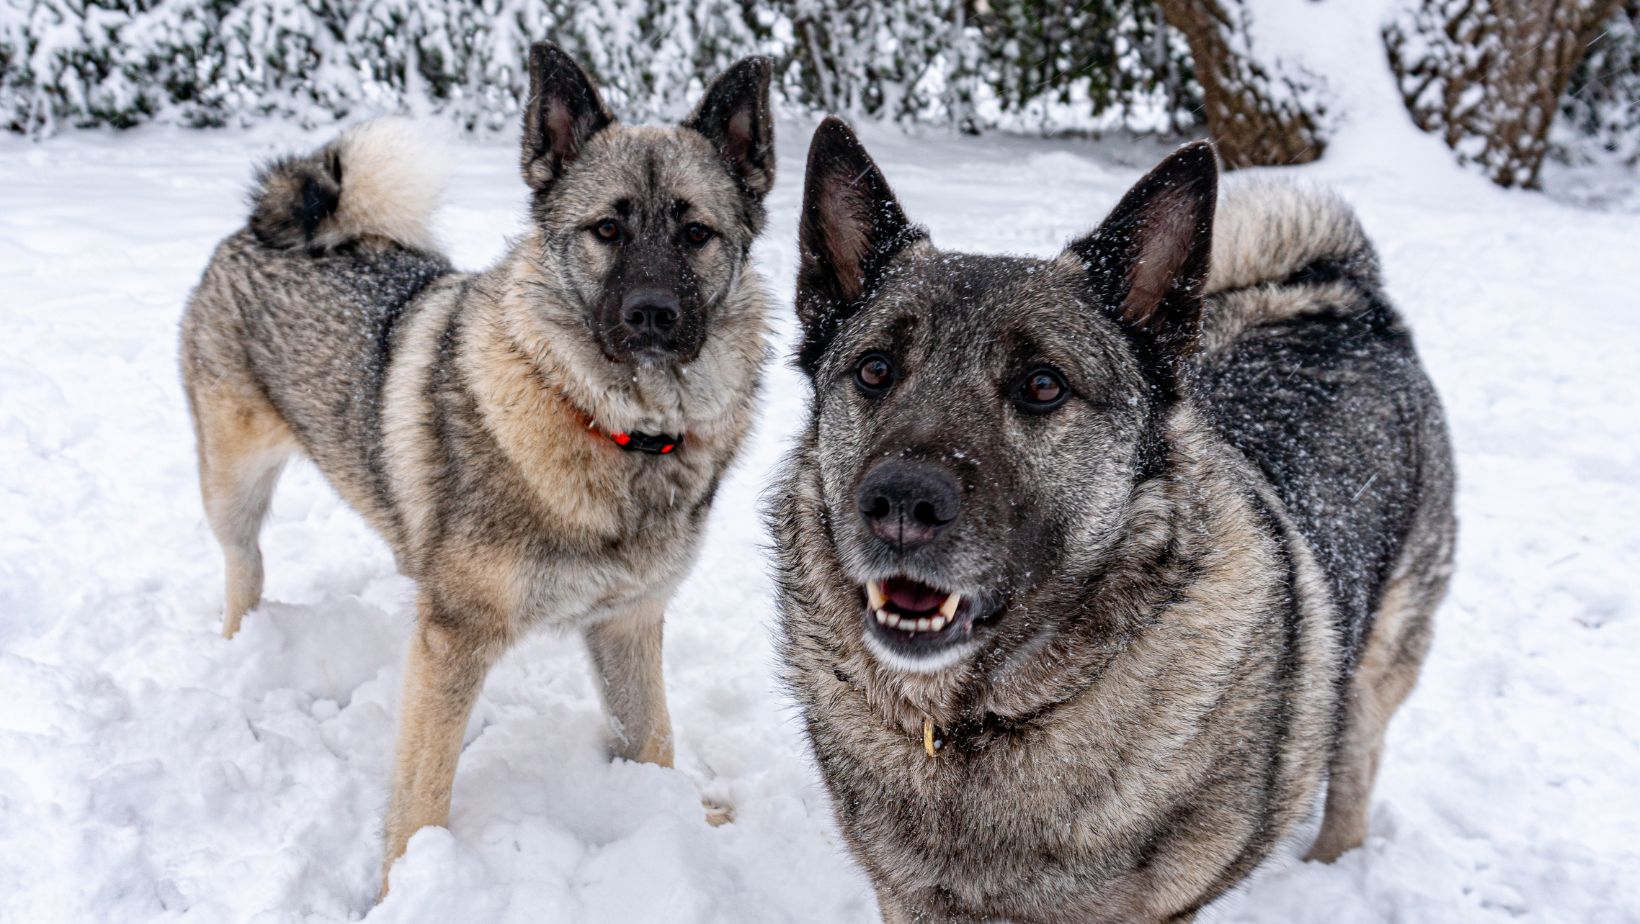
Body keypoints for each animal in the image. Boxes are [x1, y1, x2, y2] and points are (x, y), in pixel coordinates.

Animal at [767, 118, 1449, 919]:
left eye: (1042, 385)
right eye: (874, 370)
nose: (900, 504)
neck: (978, 724)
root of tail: (1345, 300)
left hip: (1374, 675)